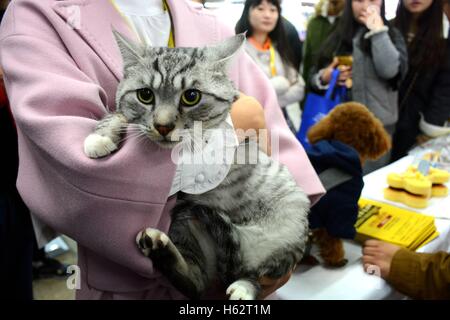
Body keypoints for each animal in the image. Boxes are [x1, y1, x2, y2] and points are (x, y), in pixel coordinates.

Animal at [84, 32, 310, 300]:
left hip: (287, 231)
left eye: (191, 96)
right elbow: (119, 114)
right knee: (195, 282)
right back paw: (158, 247)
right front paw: (101, 136)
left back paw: (244, 287)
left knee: (254, 274)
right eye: (145, 95)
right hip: (184, 227)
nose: (163, 126)